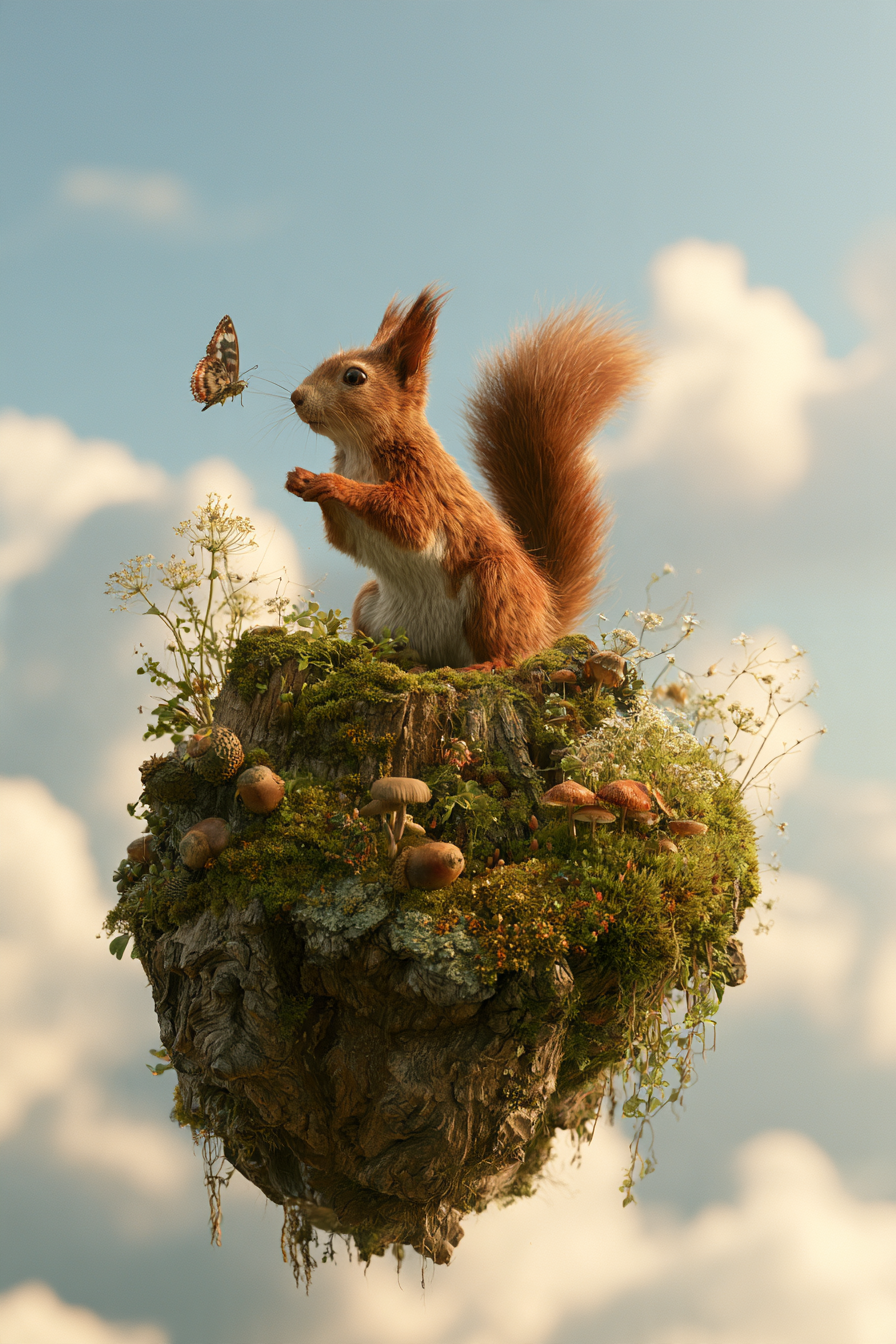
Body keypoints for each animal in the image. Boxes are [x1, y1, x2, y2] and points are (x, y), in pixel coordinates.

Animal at [285, 287, 646, 669]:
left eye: (354, 377)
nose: (296, 397)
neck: (357, 450)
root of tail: (546, 625)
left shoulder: (425, 484)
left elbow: (408, 518)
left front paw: (330, 483)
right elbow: (343, 539)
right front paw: (301, 480)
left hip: (494, 584)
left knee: (510, 651)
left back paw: (490, 663)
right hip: (370, 604)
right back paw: (373, 653)